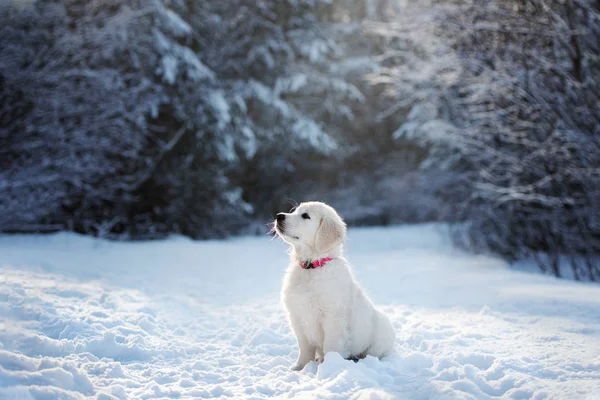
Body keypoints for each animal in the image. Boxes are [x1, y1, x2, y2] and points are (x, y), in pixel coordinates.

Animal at [274, 202, 396, 370]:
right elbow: (304, 347)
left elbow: (331, 346)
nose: (279, 216)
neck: (312, 266)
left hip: (381, 332)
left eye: (305, 216)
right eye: (294, 211)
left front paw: (329, 367)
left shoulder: (333, 318)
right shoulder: (297, 317)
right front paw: (300, 367)